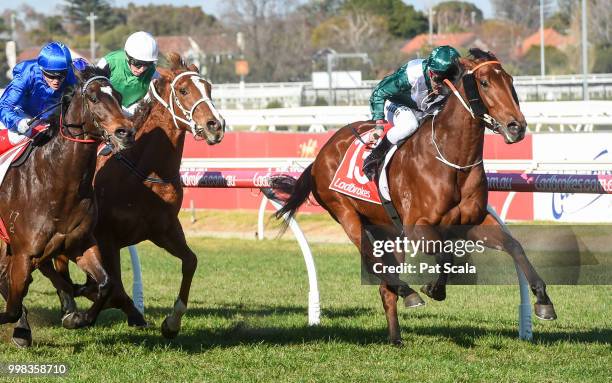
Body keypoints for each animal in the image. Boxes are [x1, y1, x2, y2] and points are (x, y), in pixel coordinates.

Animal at [0, 67, 134, 348]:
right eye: (93, 98)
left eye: (117, 95)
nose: (125, 132)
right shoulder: (23, 254)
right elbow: (13, 307)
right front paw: (22, 329)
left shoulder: (80, 243)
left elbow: (106, 283)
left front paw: (76, 317)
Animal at [53, 53, 226, 340]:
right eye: (183, 90)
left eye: (209, 88)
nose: (216, 125)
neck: (143, 173)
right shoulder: (105, 237)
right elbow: (111, 286)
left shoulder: (163, 229)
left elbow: (190, 261)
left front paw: (172, 322)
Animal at [272, 49, 556, 346]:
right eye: (485, 83)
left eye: (510, 81)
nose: (517, 127)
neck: (453, 161)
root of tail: (321, 154)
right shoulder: (418, 226)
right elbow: (446, 252)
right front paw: (434, 288)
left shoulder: (471, 221)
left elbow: (514, 246)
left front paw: (543, 300)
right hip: (347, 216)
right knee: (374, 263)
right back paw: (408, 293)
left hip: (388, 231)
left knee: (386, 288)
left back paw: (396, 335)